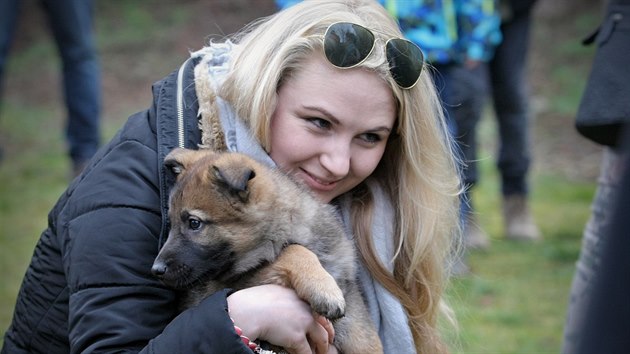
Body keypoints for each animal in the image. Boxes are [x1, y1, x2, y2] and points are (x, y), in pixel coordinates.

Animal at [152, 147, 386, 354]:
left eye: (194, 223)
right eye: (171, 223)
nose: (156, 270)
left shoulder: (353, 306)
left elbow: (367, 342)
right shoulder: (243, 282)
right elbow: (292, 251)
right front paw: (322, 288)